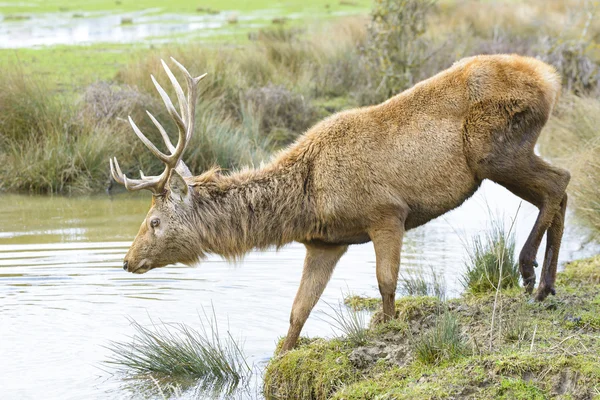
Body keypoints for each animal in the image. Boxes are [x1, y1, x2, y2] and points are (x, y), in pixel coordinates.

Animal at [110, 54, 568, 352]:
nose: (127, 261)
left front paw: (386, 324)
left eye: (154, 221)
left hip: (495, 150)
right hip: (505, 153)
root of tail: (551, 78)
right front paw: (284, 351)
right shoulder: (325, 242)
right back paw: (546, 285)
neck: (307, 200)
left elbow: (386, 283)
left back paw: (528, 270)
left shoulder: (387, 213)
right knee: (560, 189)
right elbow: (298, 310)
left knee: (557, 184)